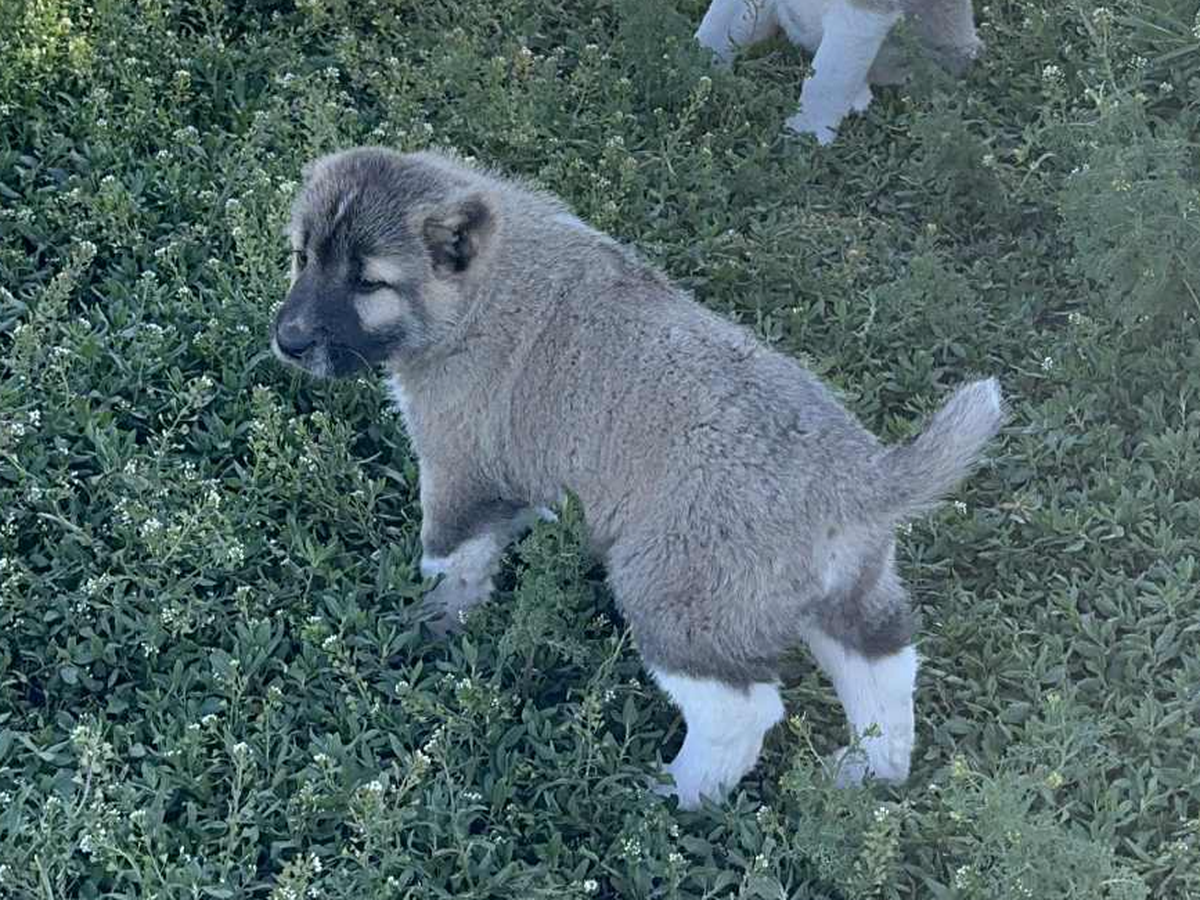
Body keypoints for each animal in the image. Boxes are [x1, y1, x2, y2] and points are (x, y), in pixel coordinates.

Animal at [270, 146, 1003, 808]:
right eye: (303, 257)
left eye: (369, 283)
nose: (288, 341)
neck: (481, 291)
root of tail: (861, 478)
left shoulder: (458, 471)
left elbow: (451, 563)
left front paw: (429, 627)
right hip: (851, 592)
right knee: (885, 669)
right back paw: (862, 775)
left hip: (677, 599)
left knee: (740, 712)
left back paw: (672, 796)